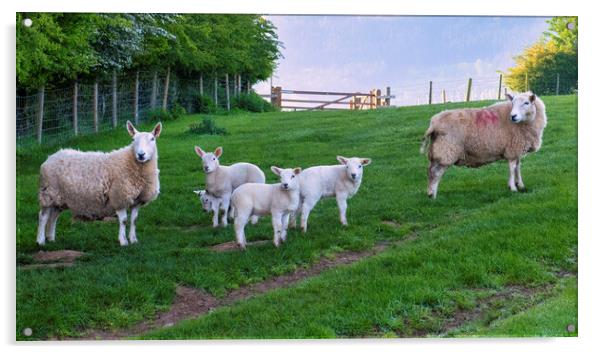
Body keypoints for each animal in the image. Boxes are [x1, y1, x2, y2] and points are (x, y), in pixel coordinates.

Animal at [420, 91, 548, 198]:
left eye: (526, 103)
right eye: (513, 103)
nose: (513, 116)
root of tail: (433, 123)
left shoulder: (517, 150)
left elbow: (518, 167)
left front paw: (520, 185)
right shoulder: (512, 149)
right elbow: (512, 168)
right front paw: (513, 188)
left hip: (438, 150)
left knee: (429, 170)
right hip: (446, 150)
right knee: (435, 173)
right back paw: (432, 195)